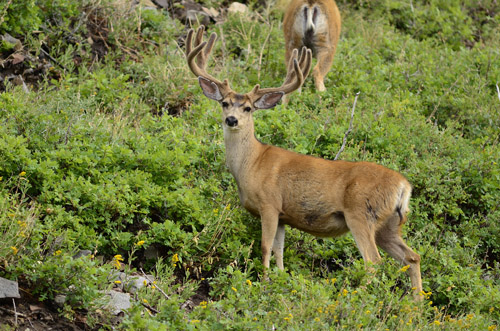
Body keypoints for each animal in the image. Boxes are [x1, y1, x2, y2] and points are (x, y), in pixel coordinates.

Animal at [186, 25, 424, 300]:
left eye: (248, 108)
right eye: (224, 103)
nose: (232, 120)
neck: (252, 163)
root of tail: (404, 186)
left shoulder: (269, 204)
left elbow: (265, 247)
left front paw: (263, 284)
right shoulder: (283, 215)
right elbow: (278, 250)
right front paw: (278, 281)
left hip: (361, 213)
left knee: (373, 262)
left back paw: (353, 297)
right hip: (389, 224)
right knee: (412, 256)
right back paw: (416, 305)